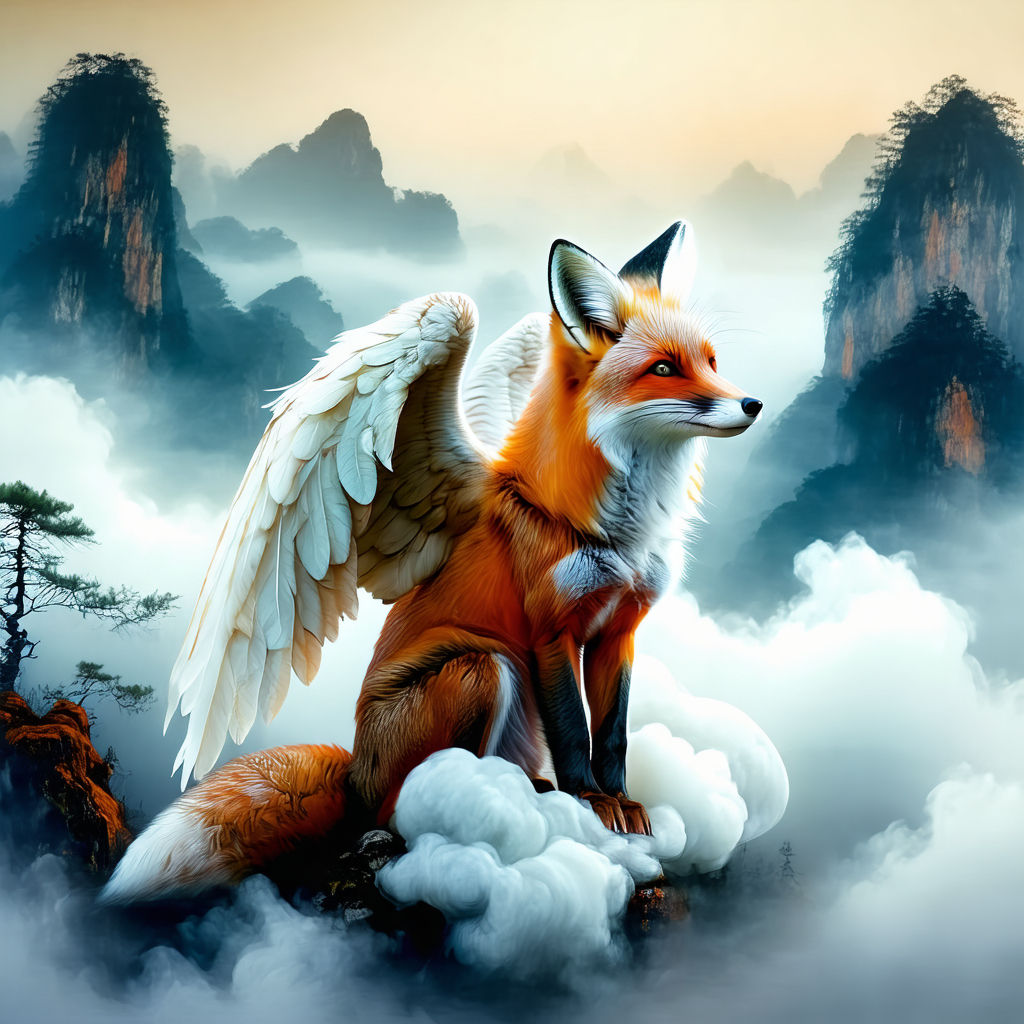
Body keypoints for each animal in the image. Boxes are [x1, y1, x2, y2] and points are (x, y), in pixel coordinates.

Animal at [101, 221, 762, 903]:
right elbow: (575, 734)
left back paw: (527, 793)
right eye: (663, 369)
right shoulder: (551, 631)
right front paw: (590, 802)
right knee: (398, 809)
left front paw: (623, 804)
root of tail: (355, 773)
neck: (614, 531)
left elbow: (612, 735)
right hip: (483, 668)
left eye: (711, 362)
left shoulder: (619, 631)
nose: (752, 404)